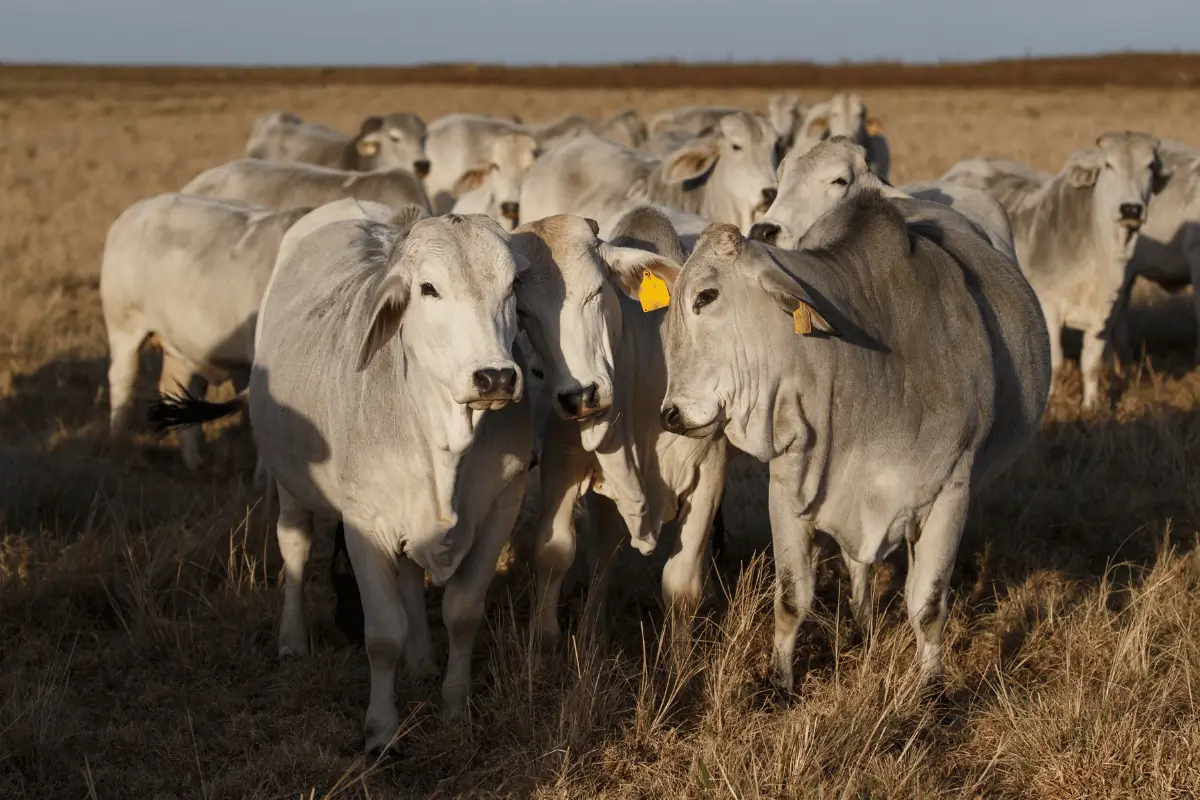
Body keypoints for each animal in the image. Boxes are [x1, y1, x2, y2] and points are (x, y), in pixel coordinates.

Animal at [102, 194, 312, 470]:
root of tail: (138, 209)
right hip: (124, 328)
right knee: (122, 383)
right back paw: (118, 447)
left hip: (181, 347)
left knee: (176, 389)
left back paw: (195, 462)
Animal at [657, 190, 1051, 690]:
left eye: (706, 296)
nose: (671, 413)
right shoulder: (789, 489)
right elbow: (792, 597)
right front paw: (781, 682)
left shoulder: (951, 490)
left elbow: (927, 603)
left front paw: (932, 687)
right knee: (858, 564)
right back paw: (860, 629)